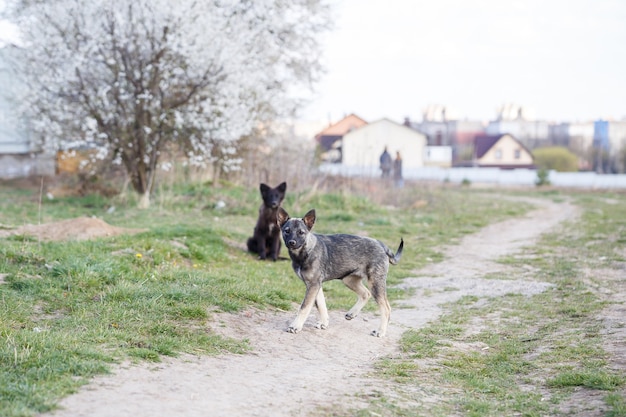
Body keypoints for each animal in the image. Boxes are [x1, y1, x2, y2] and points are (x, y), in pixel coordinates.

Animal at [276, 206, 402, 336]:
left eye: (301, 232)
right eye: (286, 231)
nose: (291, 243)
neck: (306, 251)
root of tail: (380, 244)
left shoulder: (313, 285)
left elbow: (304, 307)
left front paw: (295, 326)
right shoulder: (315, 285)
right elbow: (321, 305)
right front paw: (324, 323)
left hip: (375, 283)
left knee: (386, 308)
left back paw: (380, 331)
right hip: (349, 280)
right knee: (366, 293)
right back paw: (352, 313)